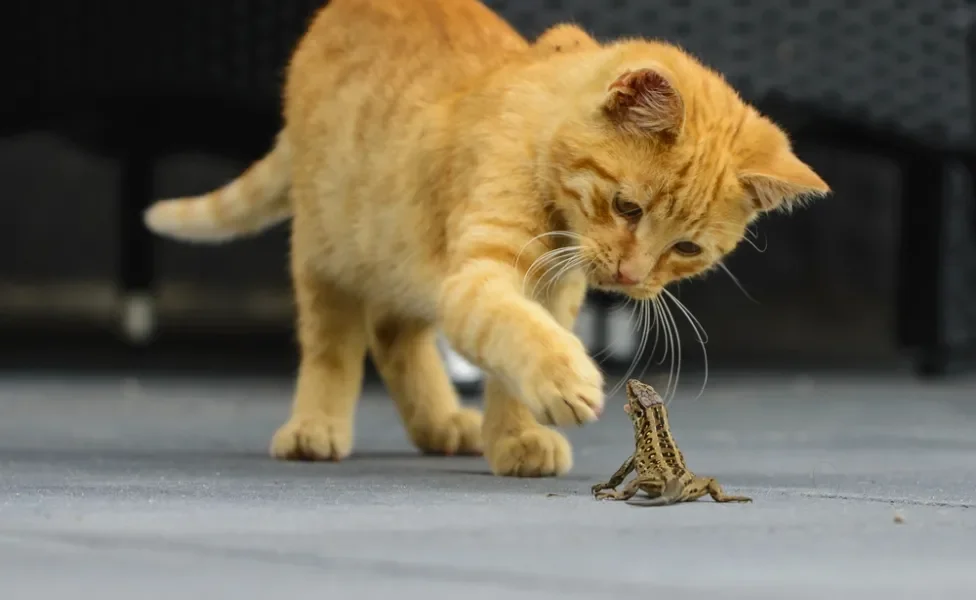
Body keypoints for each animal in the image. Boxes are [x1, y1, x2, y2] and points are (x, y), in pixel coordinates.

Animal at [147, 0, 832, 478]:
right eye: (626, 206)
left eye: (687, 249)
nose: (632, 278)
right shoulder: (476, 274)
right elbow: (512, 325)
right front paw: (561, 379)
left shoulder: (553, 289)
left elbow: (514, 348)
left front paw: (516, 436)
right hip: (328, 247)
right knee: (333, 344)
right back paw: (315, 425)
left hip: (398, 247)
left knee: (394, 333)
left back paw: (442, 422)